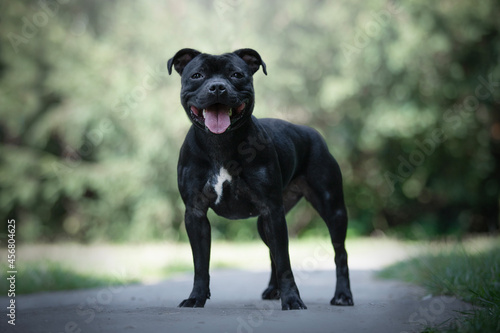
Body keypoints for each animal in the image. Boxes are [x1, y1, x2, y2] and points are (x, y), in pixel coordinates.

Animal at [167, 48, 352, 308]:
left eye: (236, 74)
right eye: (197, 75)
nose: (217, 87)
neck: (220, 143)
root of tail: (312, 132)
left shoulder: (272, 211)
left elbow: (285, 262)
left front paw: (292, 300)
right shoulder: (196, 213)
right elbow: (200, 264)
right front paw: (196, 298)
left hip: (332, 209)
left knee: (339, 252)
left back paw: (343, 295)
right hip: (266, 222)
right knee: (272, 252)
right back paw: (273, 290)